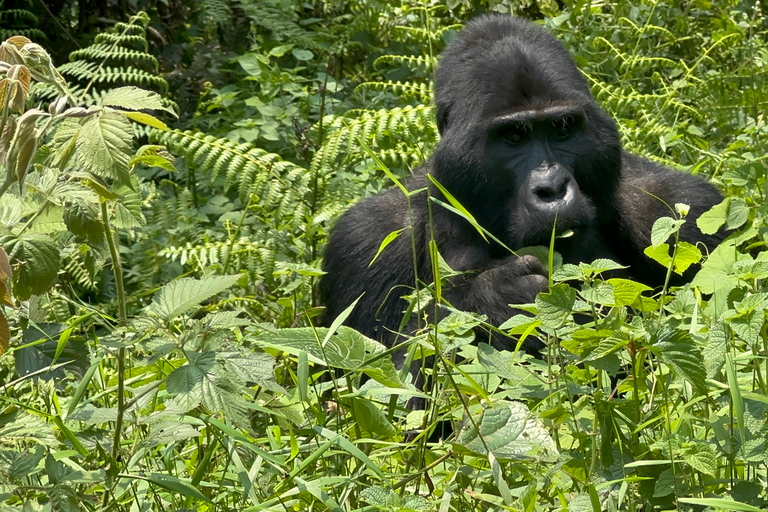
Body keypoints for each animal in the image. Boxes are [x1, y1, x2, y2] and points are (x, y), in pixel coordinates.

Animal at [318, 15, 728, 352]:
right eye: (514, 136)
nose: (552, 189)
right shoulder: (366, 240)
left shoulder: (685, 207)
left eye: (562, 127)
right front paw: (495, 297)